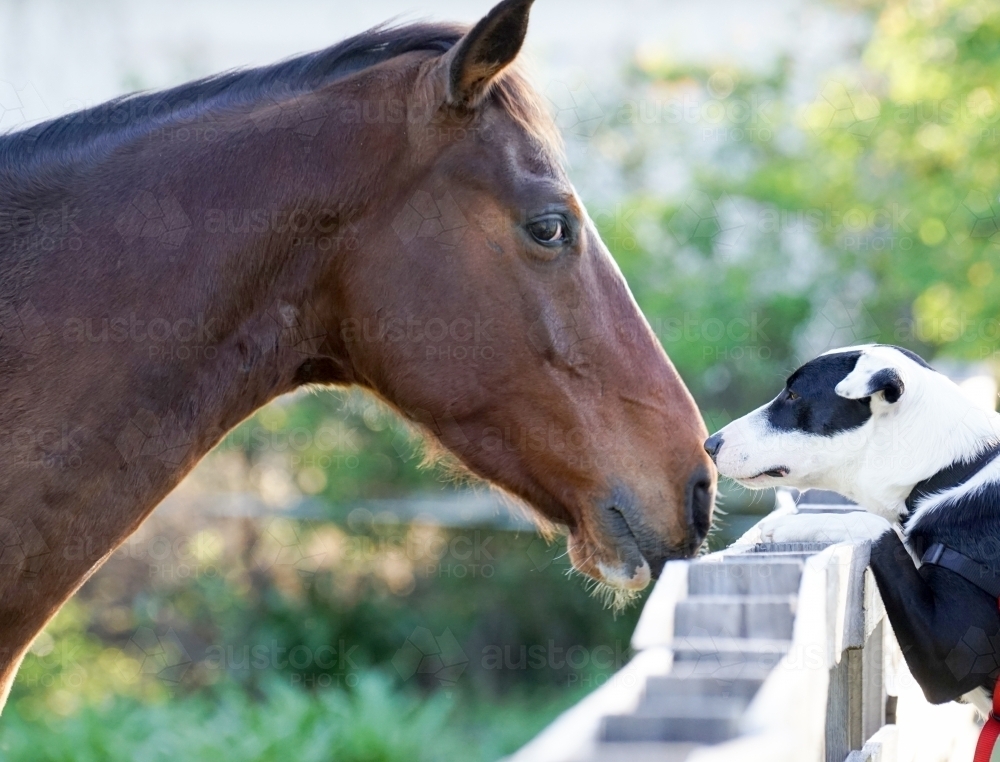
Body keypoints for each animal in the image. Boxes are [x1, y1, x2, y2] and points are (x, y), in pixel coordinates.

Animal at [704, 344, 1000, 712]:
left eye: (793, 394)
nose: (710, 444)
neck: (950, 469)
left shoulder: (952, 657)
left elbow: (876, 523)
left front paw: (791, 524)